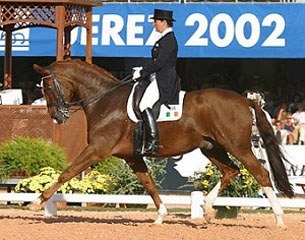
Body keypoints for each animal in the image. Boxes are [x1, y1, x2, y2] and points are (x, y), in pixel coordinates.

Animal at [30, 59, 292, 228]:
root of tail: (246, 100)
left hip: (237, 146)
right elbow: (149, 184)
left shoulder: (97, 150)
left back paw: (279, 220)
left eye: (48, 87)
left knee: (261, 173)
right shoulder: (132, 156)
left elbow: (67, 172)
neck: (106, 101)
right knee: (231, 171)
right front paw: (160, 216)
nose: (56, 116)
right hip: (211, 148)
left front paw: (36, 202)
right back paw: (207, 209)